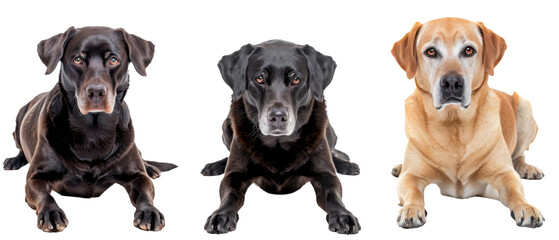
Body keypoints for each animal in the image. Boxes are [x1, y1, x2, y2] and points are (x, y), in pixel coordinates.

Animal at [3, 26, 176, 232]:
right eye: (78, 59)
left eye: (113, 60)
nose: (96, 92)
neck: (93, 130)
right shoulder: (35, 178)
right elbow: (45, 195)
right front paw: (51, 213)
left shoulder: (137, 176)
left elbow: (145, 191)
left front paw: (149, 211)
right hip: (18, 121)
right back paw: (13, 161)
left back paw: (151, 168)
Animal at [202, 40, 364, 233]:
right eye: (260, 79)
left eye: (296, 79)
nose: (278, 117)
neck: (278, 145)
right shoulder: (234, 175)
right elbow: (230, 194)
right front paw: (221, 214)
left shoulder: (326, 174)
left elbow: (333, 194)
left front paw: (342, 215)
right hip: (227, 125)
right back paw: (214, 166)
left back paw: (347, 165)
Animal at [392, 17, 544, 229]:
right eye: (431, 51)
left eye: (469, 50)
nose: (452, 82)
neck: (454, 123)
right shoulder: (411, 176)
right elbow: (413, 189)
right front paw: (411, 209)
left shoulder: (501, 175)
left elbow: (514, 188)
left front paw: (526, 207)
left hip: (525, 107)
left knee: (519, 156)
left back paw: (527, 169)